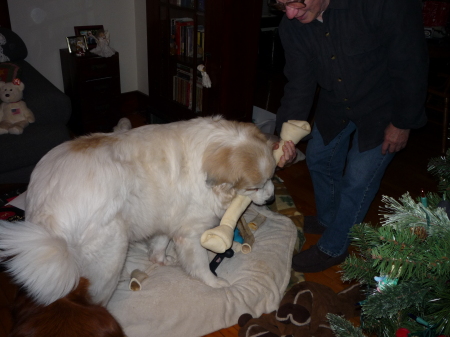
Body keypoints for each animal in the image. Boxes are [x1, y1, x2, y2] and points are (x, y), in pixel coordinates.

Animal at [0, 117, 278, 306]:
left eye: (272, 177)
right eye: (254, 187)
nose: (272, 198)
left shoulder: (166, 217)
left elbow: (159, 245)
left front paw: (161, 260)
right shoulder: (191, 233)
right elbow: (200, 265)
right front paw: (213, 282)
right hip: (111, 257)